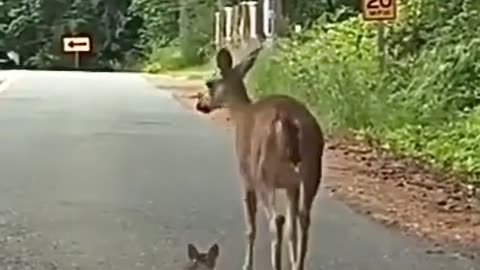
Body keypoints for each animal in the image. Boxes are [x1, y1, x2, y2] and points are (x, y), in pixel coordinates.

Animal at [196, 46, 326, 270]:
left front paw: (246, 265)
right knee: (302, 218)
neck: (241, 113)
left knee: (277, 220)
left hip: (263, 172)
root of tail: (288, 121)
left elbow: (251, 227)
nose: (200, 103)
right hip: (311, 170)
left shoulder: (245, 175)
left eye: (209, 83)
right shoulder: (291, 186)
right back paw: (297, 265)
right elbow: (292, 230)